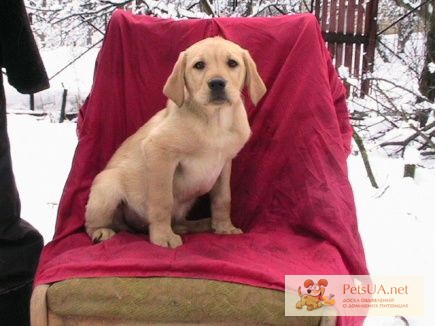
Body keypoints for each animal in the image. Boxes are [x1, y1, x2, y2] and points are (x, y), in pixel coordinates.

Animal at [85, 37, 268, 248]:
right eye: (199, 65)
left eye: (232, 63)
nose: (217, 83)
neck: (215, 121)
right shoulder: (160, 153)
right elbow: (162, 201)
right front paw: (163, 237)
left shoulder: (225, 163)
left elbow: (223, 198)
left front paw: (224, 227)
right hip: (106, 187)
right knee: (97, 223)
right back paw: (101, 232)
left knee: (179, 221)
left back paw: (201, 224)